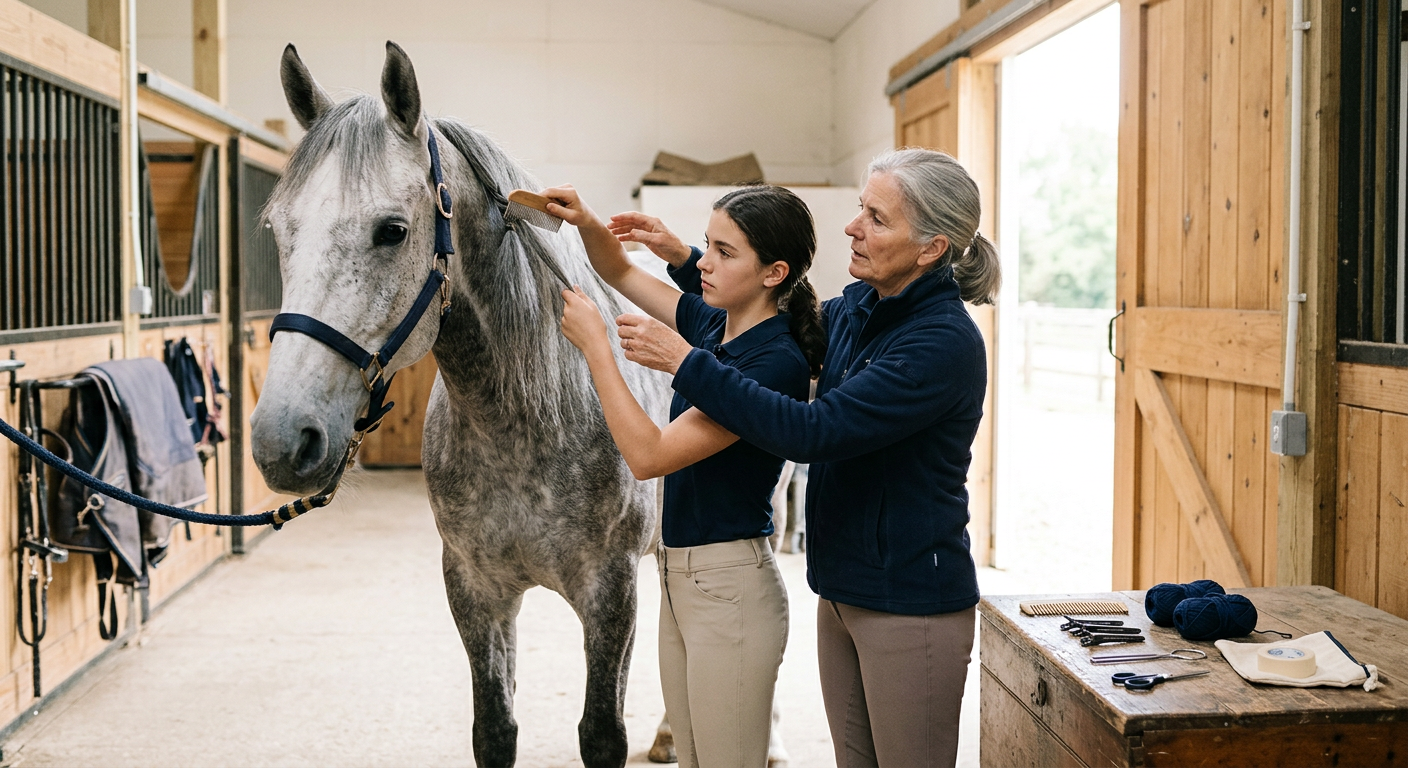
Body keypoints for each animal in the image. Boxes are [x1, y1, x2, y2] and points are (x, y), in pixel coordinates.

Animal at [249, 41, 669, 767]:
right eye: (279, 229)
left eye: (392, 230)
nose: (283, 439)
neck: (530, 422)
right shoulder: (475, 591)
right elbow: (493, 729)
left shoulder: (611, 594)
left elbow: (601, 734)